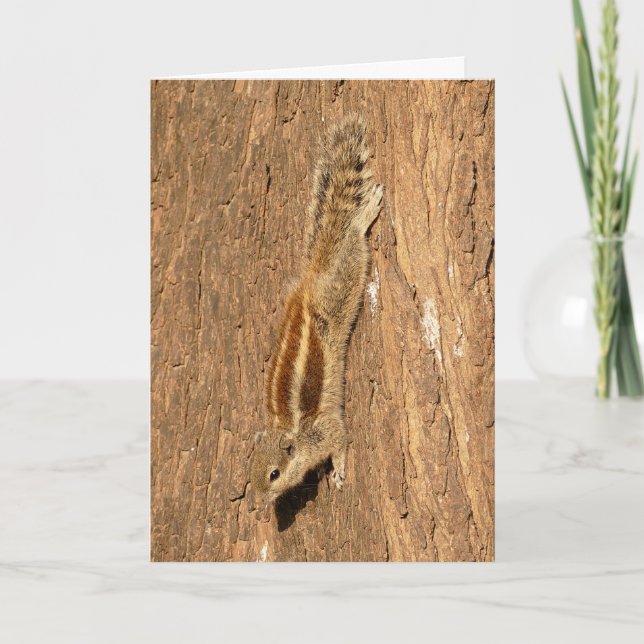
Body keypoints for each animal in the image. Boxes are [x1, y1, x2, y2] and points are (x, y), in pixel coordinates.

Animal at [250, 113, 383, 505]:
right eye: (249, 474)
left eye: (274, 474)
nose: (257, 504)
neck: (290, 431)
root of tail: (313, 275)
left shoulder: (327, 430)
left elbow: (342, 440)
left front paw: (338, 472)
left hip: (342, 286)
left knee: (352, 243)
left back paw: (364, 216)